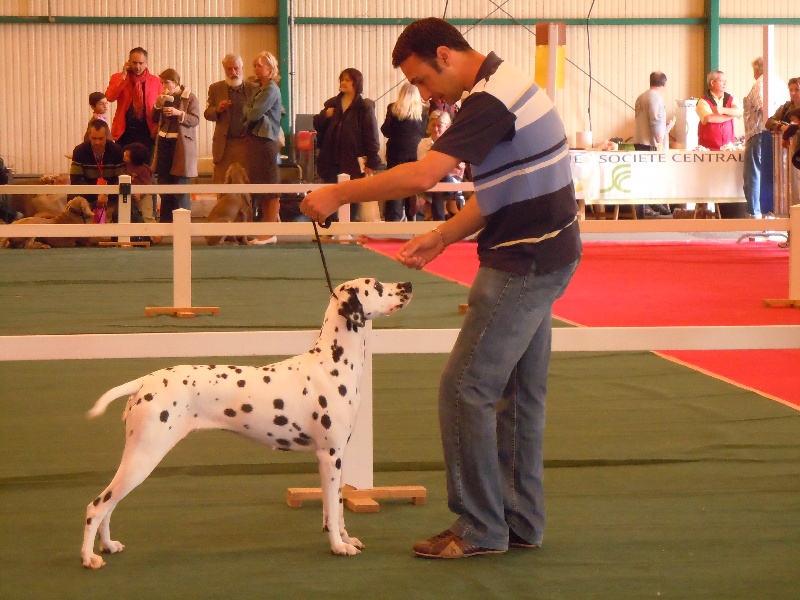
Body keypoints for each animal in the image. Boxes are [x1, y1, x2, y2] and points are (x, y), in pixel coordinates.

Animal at [81, 276, 412, 568]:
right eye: (377, 286)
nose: (407, 284)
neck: (331, 363)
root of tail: (143, 383)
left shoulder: (337, 458)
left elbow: (339, 509)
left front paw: (346, 538)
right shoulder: (329, 457)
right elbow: (331, 511)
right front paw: (338, 547)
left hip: (136, 460)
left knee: (109, 506)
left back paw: (108, 545)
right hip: (144, 457)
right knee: (97, 506)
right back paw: (89, 558)